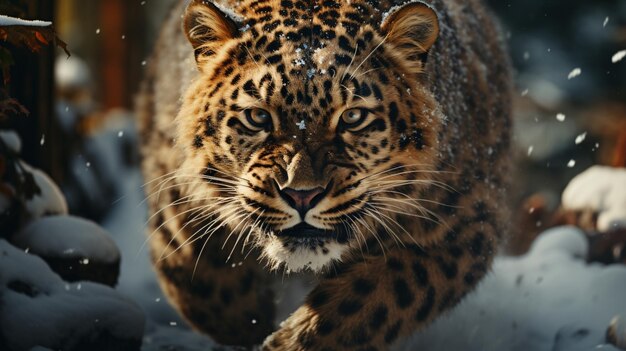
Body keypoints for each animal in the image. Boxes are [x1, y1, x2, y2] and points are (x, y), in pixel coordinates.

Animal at [135, 0, 508, 350]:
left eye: (353, 117)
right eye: (258, 117)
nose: (302, 195)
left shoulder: (458, 227)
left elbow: (361, 307)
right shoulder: (175, 193)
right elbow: (203, 286)